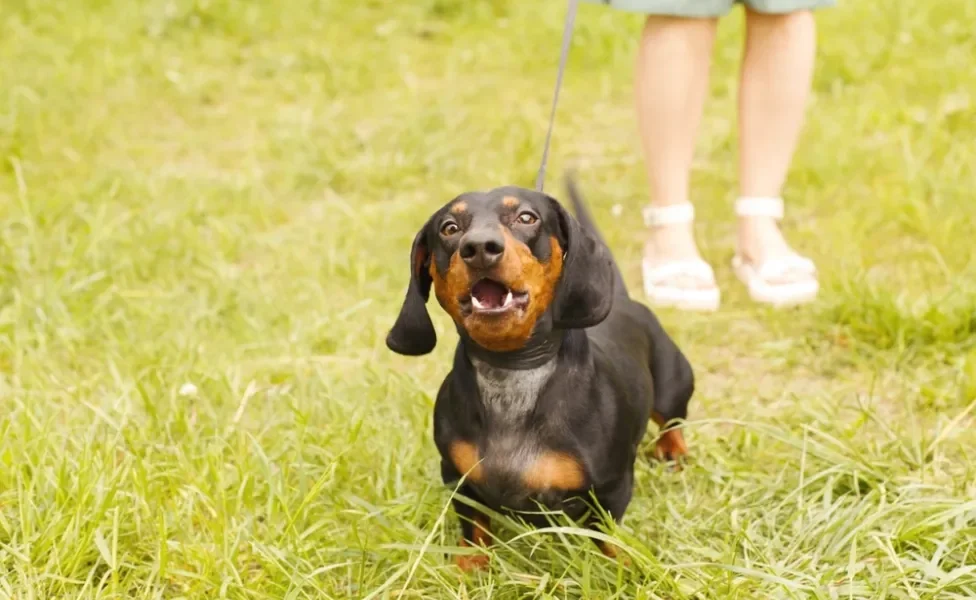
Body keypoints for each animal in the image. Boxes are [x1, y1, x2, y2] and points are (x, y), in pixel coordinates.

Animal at [384, 179, 692, 572]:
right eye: (449, 228)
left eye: (527, 217)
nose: (479, 248)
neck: (513, 370)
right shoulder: (457, 479)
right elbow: (474, 527)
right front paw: (470, 566)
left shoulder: (612, 486)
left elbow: (606, 534)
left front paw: (620, 567)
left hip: (673, 385)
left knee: (673, 421)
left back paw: (673, 453)